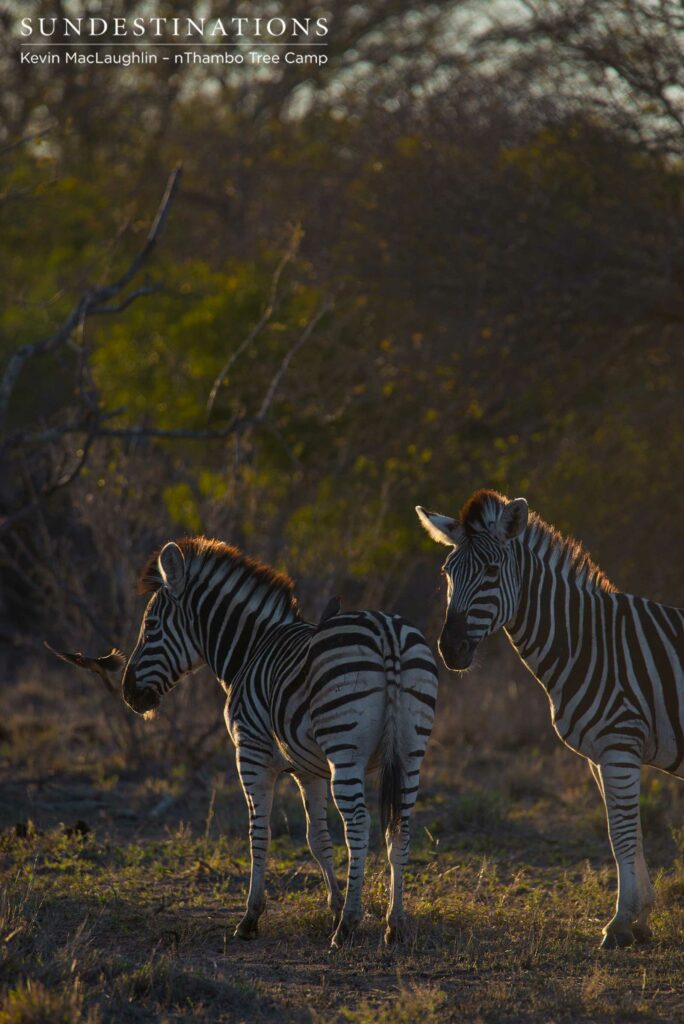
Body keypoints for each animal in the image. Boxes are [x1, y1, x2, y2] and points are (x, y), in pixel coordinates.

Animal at [122, 536, 438, 948]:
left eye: (151, 626)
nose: (128, 693)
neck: (251, 649)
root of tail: (386, 631)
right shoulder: (310, 770)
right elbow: (317, 838)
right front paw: (334, 903)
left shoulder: (251, 752)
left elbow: (259, 833)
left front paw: (251, 917)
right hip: (411, 750)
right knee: (399, 826)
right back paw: (394, 923)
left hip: (345, 751)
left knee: (358, 824)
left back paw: (348, 926)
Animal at [416, 489, 684, 950]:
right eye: (448, 573)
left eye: (491, 571)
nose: (450, 648)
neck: (585, 641)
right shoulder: (600, 756)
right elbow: (626, 834)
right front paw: (640, 919)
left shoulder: (618, 747)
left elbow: (621, 833)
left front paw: (620, 923)